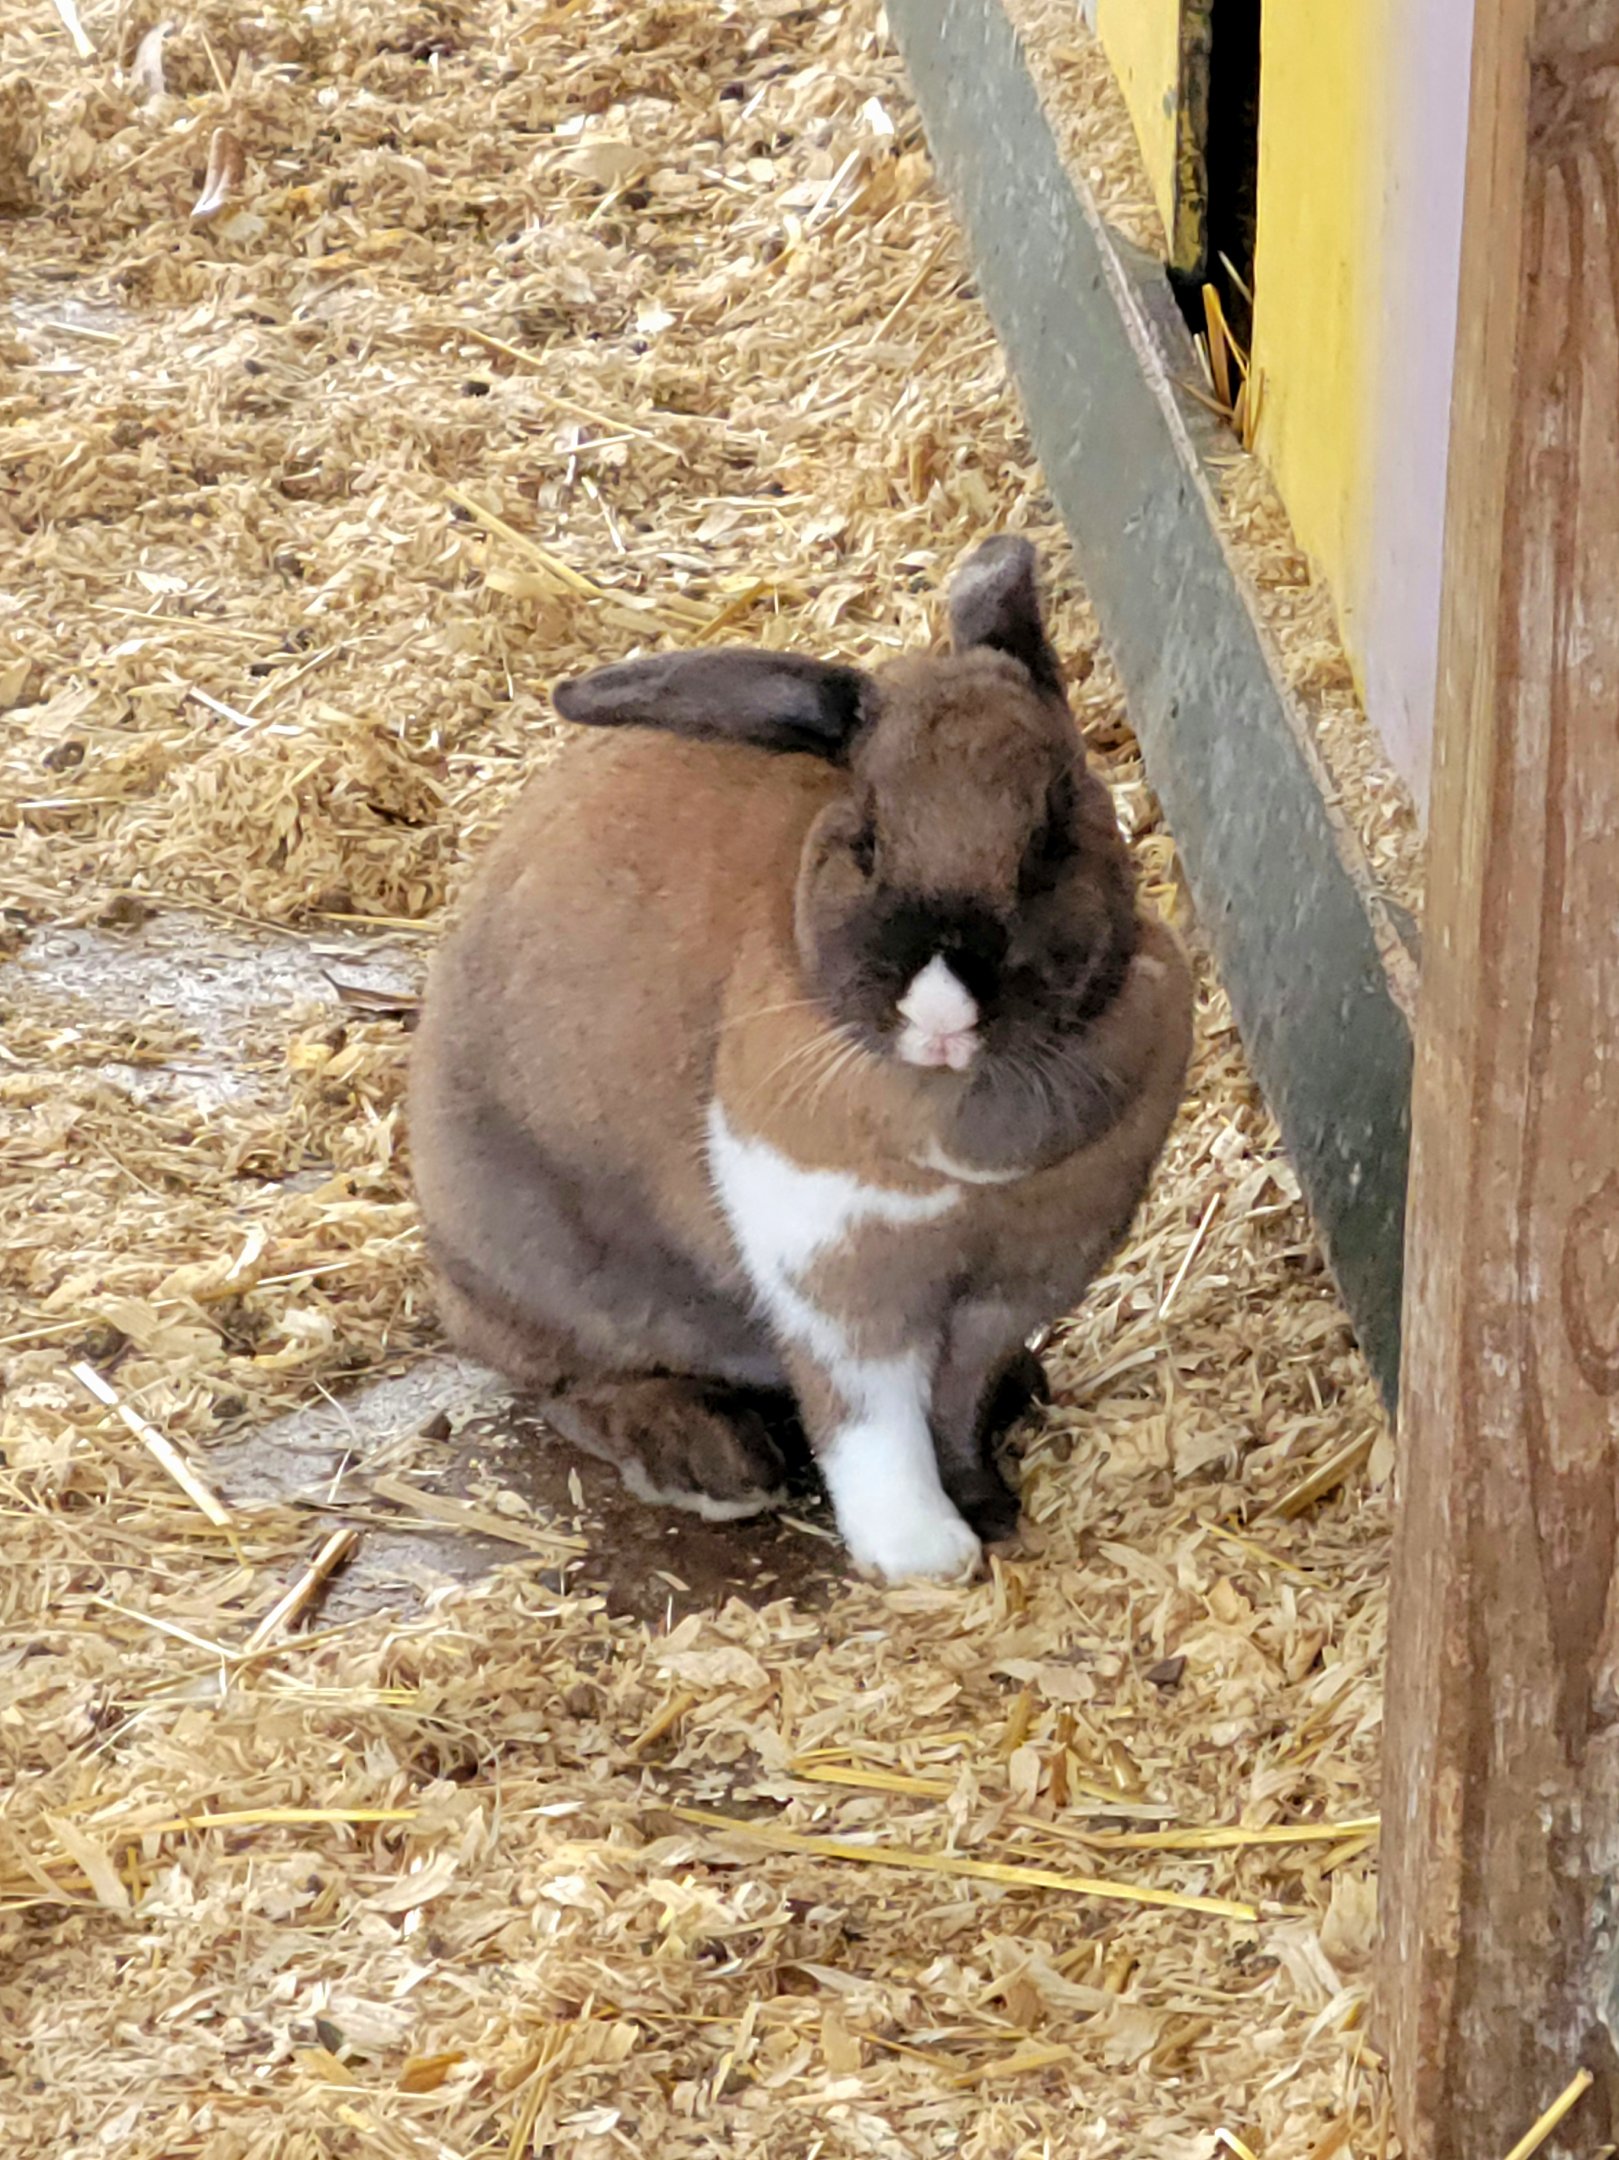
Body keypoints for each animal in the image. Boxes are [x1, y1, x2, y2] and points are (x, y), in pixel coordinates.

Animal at [408, 536, 1193, 1583]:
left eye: (1054, 833)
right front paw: (922, 1556)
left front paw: (986, 1502)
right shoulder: (834, 1277)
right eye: (863, 842)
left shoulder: (1015, 1286)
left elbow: (955, 1401)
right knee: (566, 1380)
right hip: (539, 1271)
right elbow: (868, 1423)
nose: (942, 1009)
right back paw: (708, 1461)